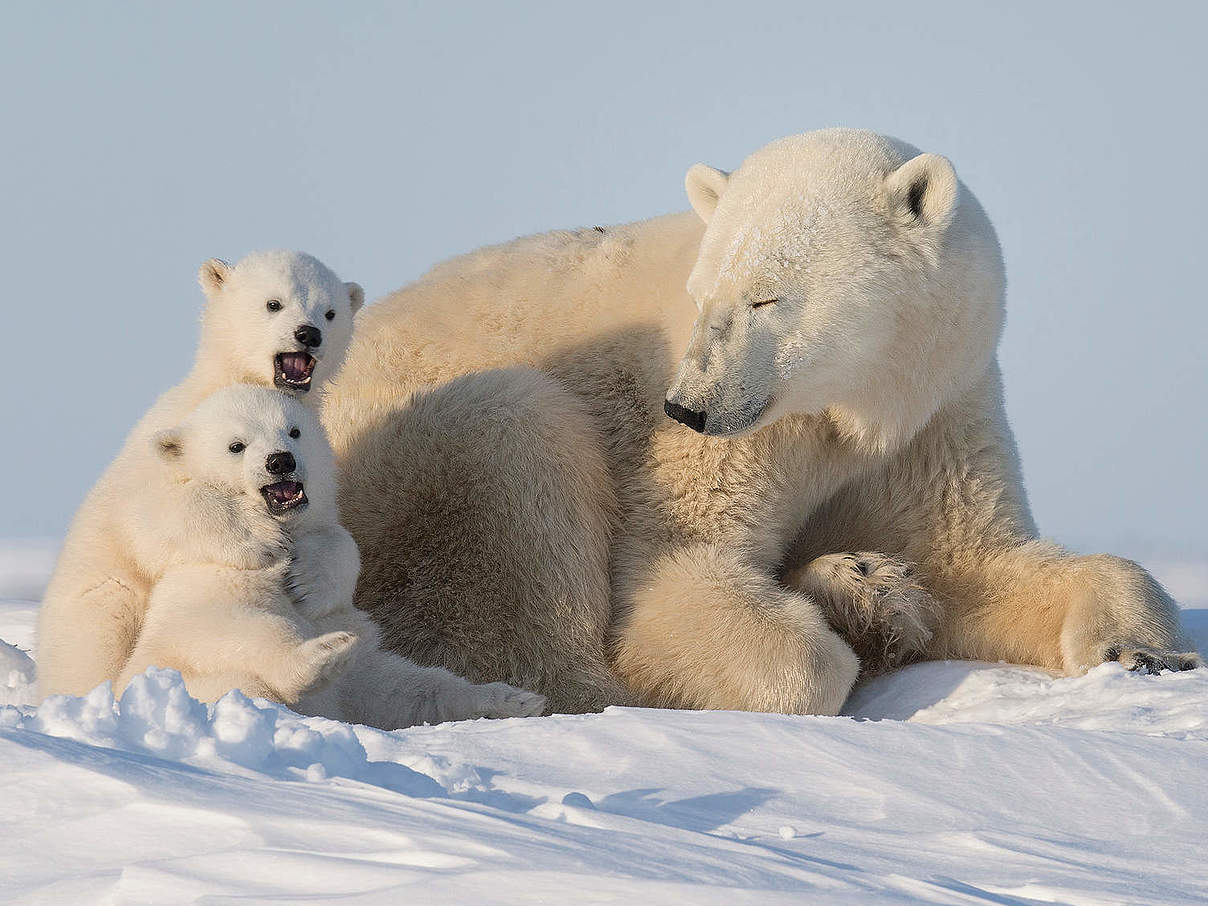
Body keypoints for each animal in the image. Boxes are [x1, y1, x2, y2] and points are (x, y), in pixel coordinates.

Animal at [38, 252, 367, 700]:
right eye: (274, 303)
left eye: (330, 312)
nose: (308, 334)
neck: (227, 382)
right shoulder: (167, 445)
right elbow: (154, 516)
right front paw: (260, 539)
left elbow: (336, 534)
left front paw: (309, 580)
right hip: (95, 608)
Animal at [115, 386, 546, 729]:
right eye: (236, 445)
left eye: (294, 430)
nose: (281, 461)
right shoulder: (202, 603)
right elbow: (242, 631)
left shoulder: (347, 638)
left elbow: (393, 689)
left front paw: (307, 582)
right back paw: (326, 654)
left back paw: (517, 698)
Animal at [326, 128, 1203, 715]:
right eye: (702, 292)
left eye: (765, 297)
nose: (685, 406)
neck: (851, 404)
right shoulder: (728, 445)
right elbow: (674, 582)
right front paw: (838, 635)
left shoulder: (936, 411)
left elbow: (976, 561)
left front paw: (1141, 650)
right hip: (388, 471)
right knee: (512, 444)